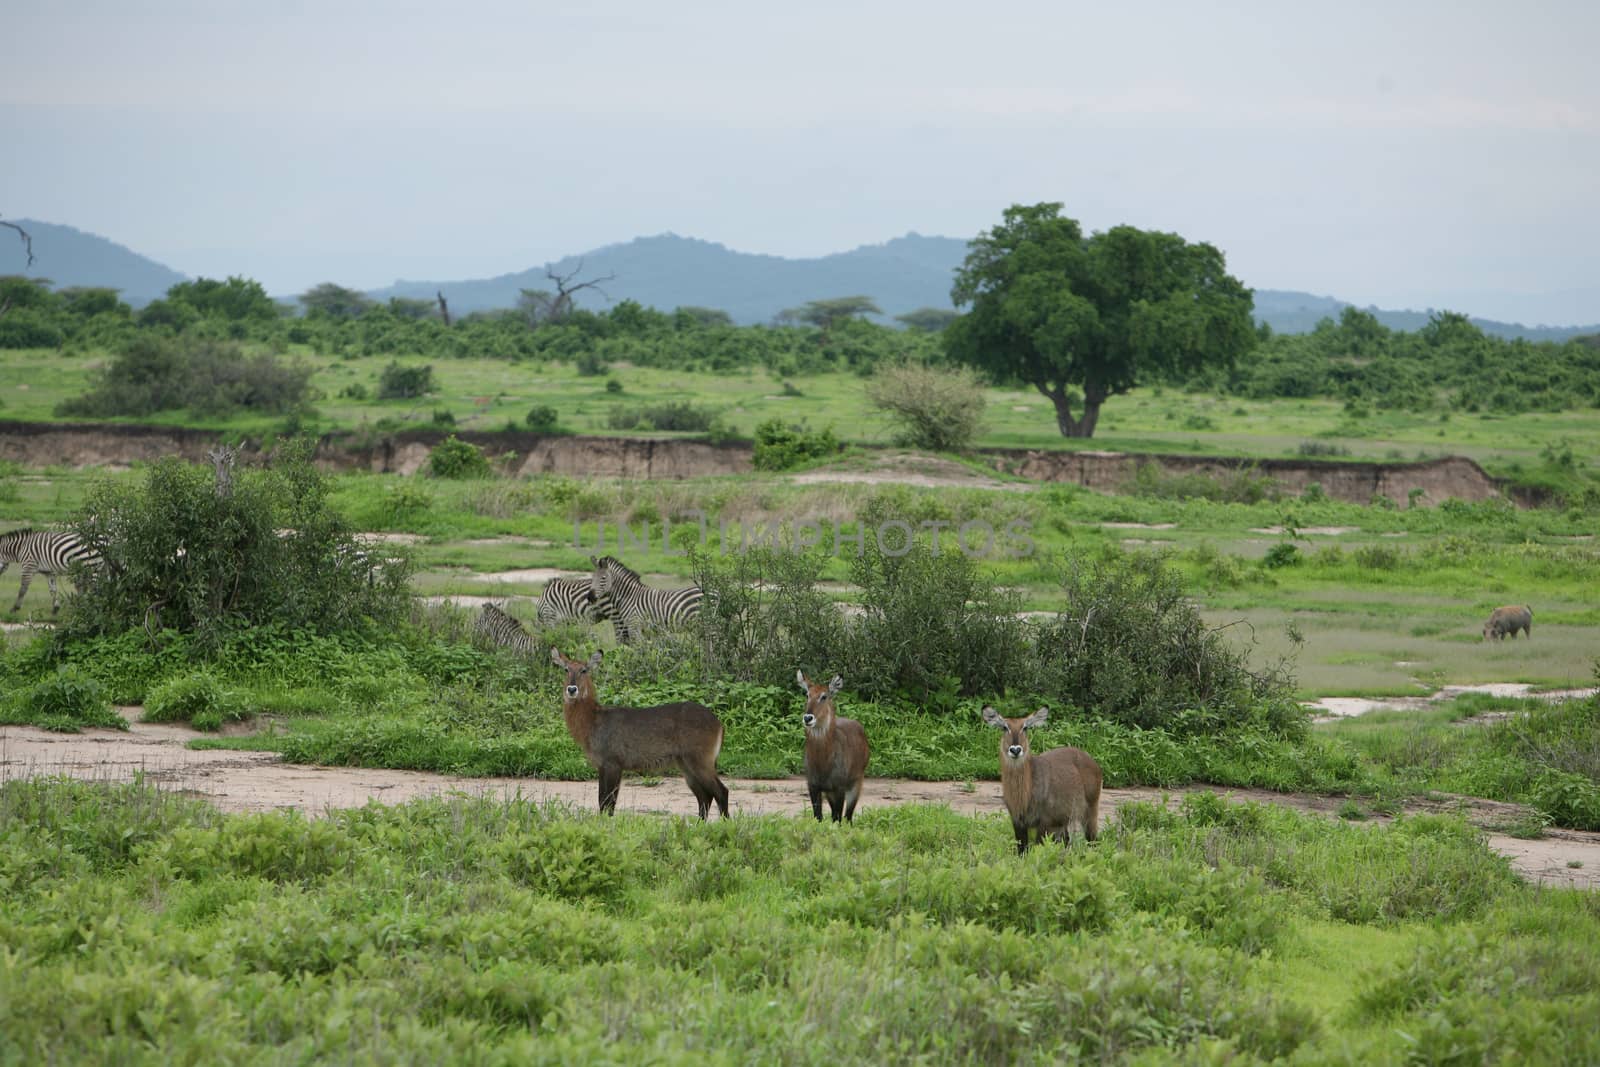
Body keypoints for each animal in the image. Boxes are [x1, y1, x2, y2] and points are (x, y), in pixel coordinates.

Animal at [547, 652, 729, 819]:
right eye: (566, 669)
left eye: (584, 670)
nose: (572, 689)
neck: (594, 719)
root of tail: (718, 722)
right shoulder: (602, 766)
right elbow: (602, 801)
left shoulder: (613, 764)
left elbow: (608, 803)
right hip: (686, 766)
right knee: (704, 797)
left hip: (700, 761)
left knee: (721, 792)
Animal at [793, 668, 870, 825]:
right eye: (807, 694)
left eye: (824, 696)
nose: (808, 718)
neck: (823, 761)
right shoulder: (814, 786)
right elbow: (819, 817)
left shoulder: (839, 788)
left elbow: (838, 818)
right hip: (829, 792)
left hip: (856, 783)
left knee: (848, 816)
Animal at [979, 703, 1107, 857]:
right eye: (1004, 727)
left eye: (1025, 727)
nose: (1015, 750)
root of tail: (1092, 761)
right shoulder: (1018, 821)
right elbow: (1022, 852)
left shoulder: (1045, 823)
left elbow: (1037, 851)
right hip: (1063, 820)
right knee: (1067, 841)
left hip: (1090, 811)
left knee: (1093, 841)